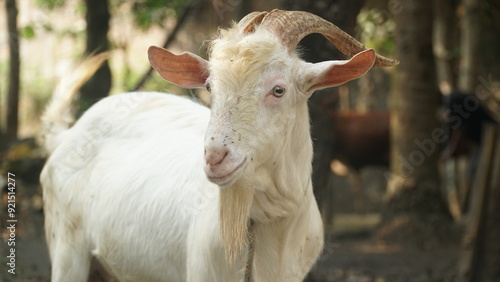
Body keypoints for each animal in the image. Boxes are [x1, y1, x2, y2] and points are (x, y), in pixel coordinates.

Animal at [40, 9, 398, 282]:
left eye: (278, 90)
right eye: (210, 86)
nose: (215, 157)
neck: (269, 224)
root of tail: (69, 135)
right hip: (67, 250)